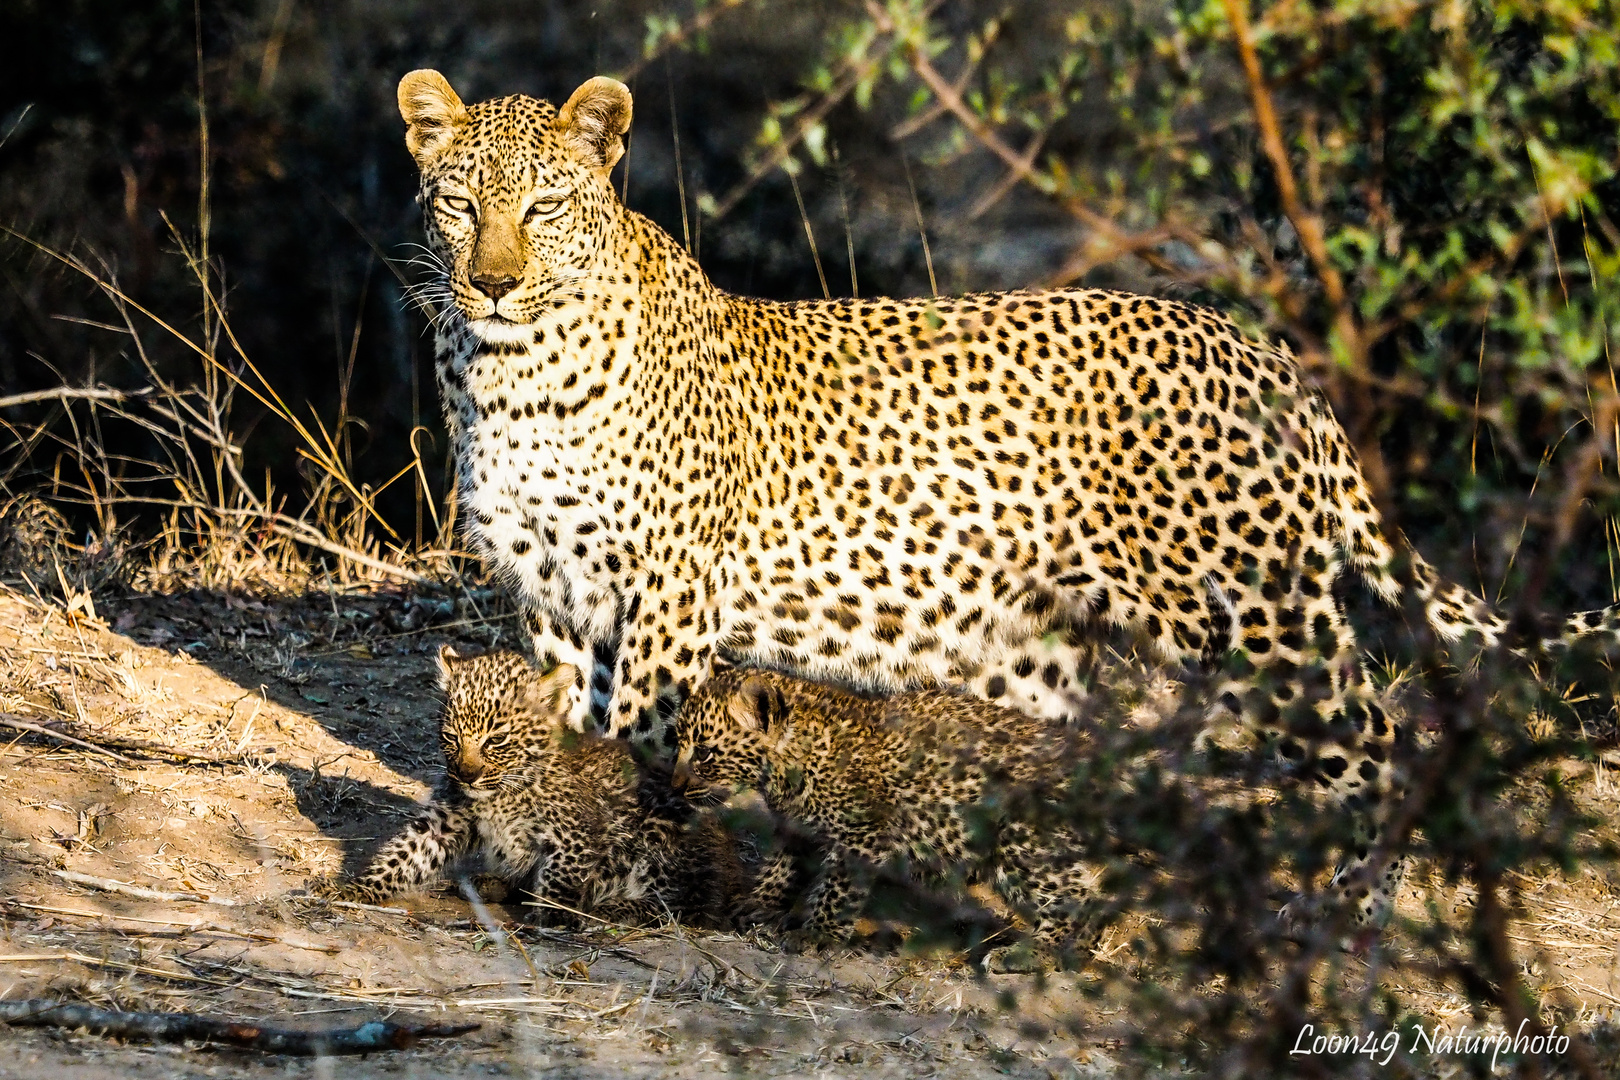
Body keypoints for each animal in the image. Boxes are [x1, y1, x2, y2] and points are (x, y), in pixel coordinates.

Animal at [398, 69, 1613, 932]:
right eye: (459, 203)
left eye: (546, 206)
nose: (492, 281)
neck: (508, 371)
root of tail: (1266, 352)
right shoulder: (553, 595)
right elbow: (567, 727)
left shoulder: (667, 597)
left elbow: (644, 736)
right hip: (1038, 653)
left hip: (1266, 624)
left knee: (1385, 746)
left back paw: (1352, 913)